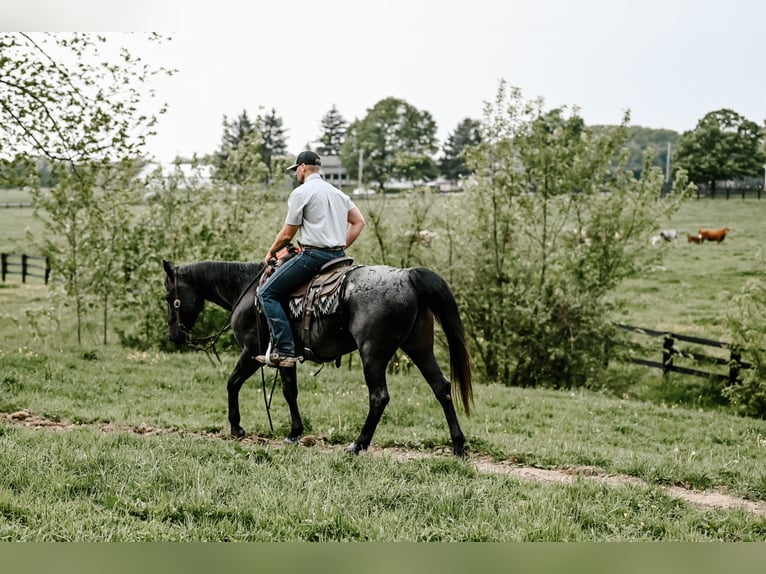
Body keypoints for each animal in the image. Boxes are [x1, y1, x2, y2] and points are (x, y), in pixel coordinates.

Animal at [163, 260, 474, 460]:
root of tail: (408, 276)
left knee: (379, 397)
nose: (174, 335)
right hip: (420, 347)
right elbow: (290, 391)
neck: (248, 291)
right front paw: (294, 433)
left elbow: (232, 383)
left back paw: (358, 445)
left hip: (373, 354)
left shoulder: (252, 351)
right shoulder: (285, 356)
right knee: (441, 387)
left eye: (168, 296)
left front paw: (236, 428)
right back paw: (458, 446)